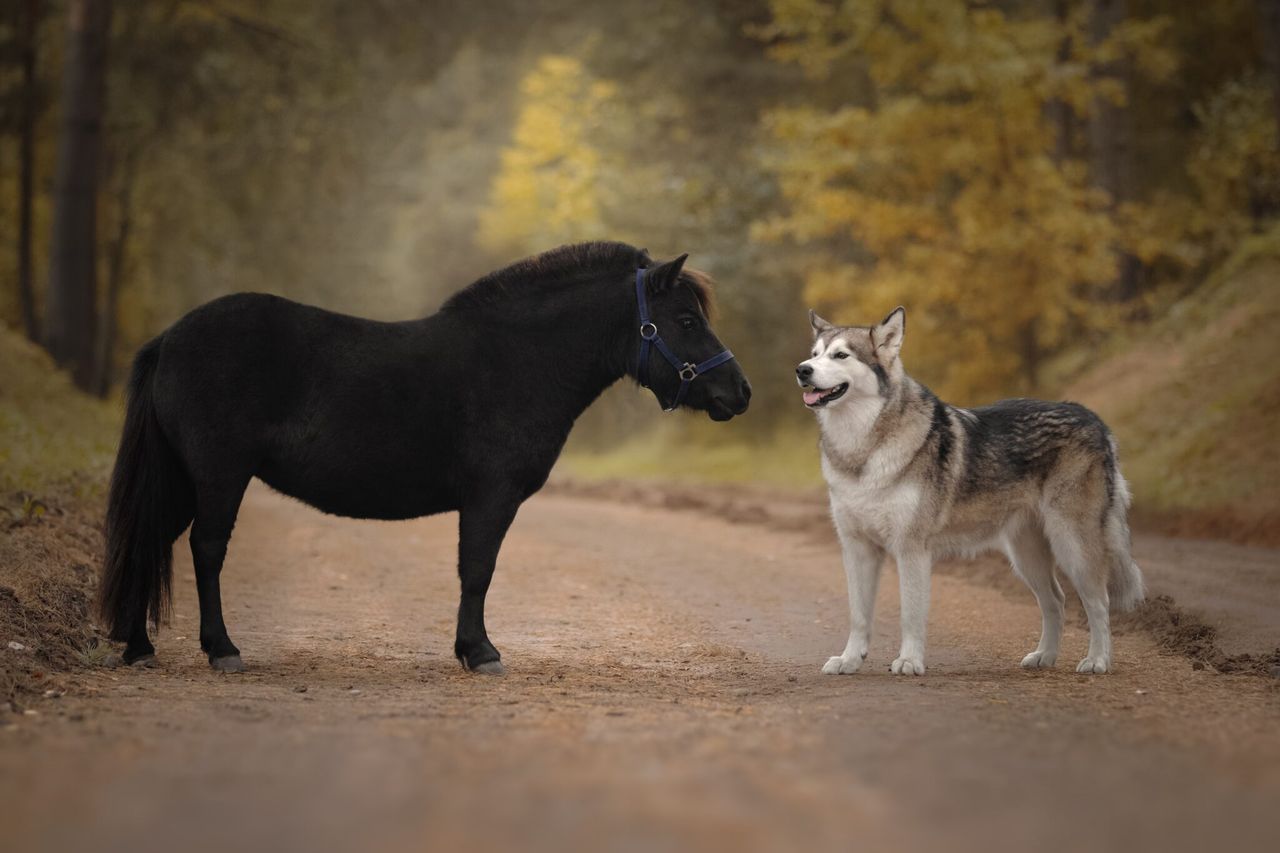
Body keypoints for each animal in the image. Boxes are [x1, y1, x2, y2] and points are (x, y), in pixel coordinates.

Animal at [99, 240, 747, 671]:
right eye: (685, 319)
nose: (738, 393)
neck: (518, 360)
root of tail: (169, 338)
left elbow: (472, 570)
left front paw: (470, 650)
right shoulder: (491, 497)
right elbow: (478, 569)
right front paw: (480, 653)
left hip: (183, 479)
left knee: (153, 540)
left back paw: (139, 647)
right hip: (218, 476)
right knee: (206, 551)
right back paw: (222, 650)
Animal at [793, 308, 1146, 676]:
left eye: (840, 355)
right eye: (815, 353)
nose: (802, 370)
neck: (862, 450)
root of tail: (1092, 416)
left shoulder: (911, 549)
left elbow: (910, 614)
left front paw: (909, 661)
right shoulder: (858, 550)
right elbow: (859, 616)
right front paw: (849, 660)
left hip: (1073, 546)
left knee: (1098, 603)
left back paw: (1098, 660)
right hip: (1027, 557)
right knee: (1057, 601)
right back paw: (1044, 656)